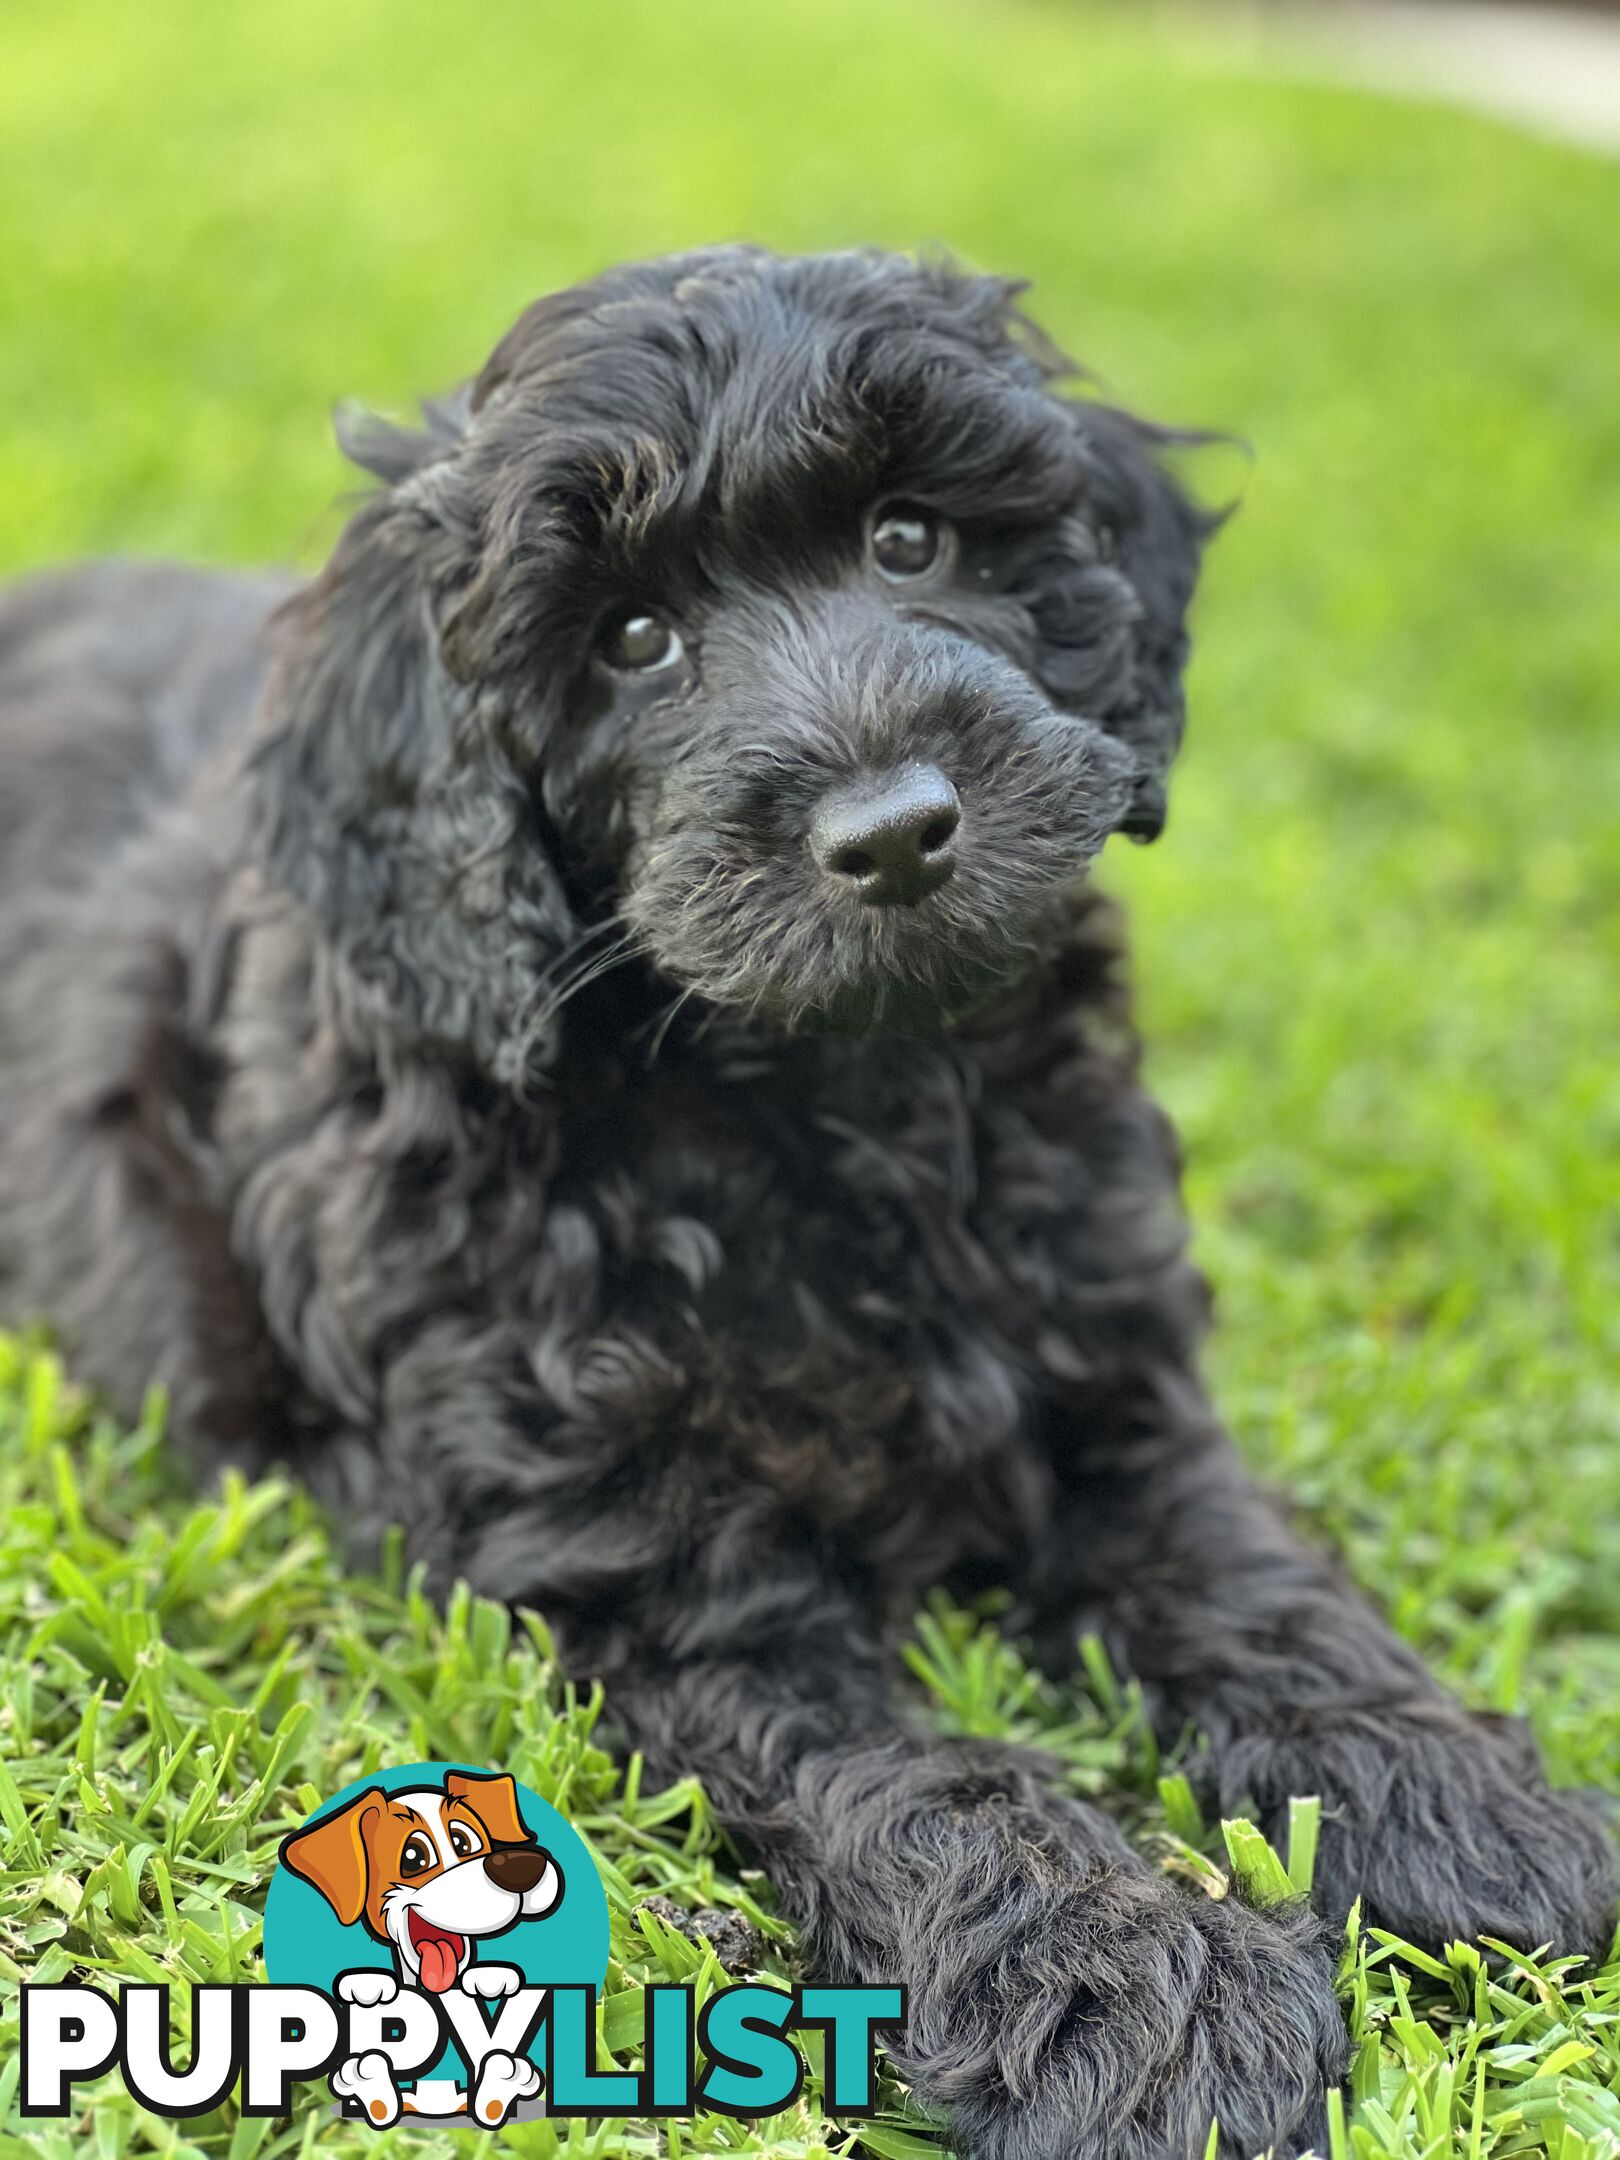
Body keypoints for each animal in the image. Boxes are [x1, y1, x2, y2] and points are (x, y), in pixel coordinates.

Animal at [3, 248, 1615, 2142]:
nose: (897, 830)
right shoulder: (653, 1582)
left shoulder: (1120, 1389)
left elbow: (1250, 1582)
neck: (836, 1101)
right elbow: (911, 1772)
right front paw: (1136, 1991)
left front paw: (1450, 1805)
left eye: (912, 538)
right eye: (630, 640)